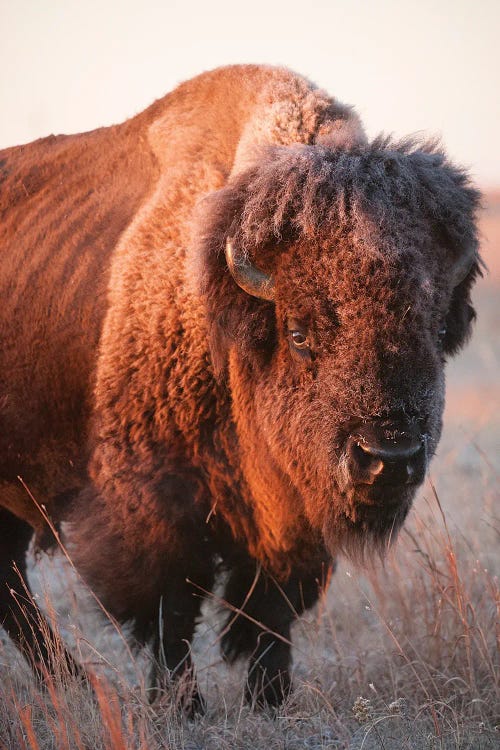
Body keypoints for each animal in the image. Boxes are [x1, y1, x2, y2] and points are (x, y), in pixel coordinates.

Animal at [0, 64, 480, 712]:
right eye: (299, 333)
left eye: (434, 329)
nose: (389, 456)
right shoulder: (157, 505)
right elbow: (172, 608)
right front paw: (182, 704)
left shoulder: (293, 519)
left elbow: (274, 607)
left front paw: (270, 696)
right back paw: (79, 683)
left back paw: (73, 682)